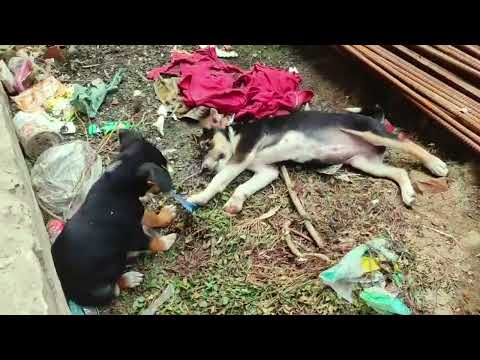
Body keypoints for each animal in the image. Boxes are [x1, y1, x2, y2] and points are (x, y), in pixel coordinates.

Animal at [51, 129, 178, 306]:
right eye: (163, 167)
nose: (172, 173)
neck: (119, 180)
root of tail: (65, 288)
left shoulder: (137, 214)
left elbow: (150, 217)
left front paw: (166, 215)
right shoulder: (133, 234)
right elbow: (152, 242)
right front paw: (167, 241)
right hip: (101, 287)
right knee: (115, 288)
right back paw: (130, 278)